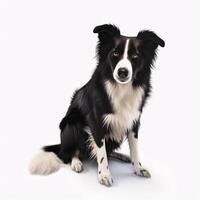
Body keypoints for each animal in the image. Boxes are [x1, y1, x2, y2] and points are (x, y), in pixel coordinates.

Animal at [29, 24, 164, 187]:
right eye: (115, 53)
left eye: (135, 56)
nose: (123, 72)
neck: (121, 89)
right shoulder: (96, 123)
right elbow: (101, 152)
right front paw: (104, 175)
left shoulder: (133, 121)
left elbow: (134, 149)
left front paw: (138, 168)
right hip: (71, 123)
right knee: (70, 153)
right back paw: (76, 162)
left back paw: (121, 155)